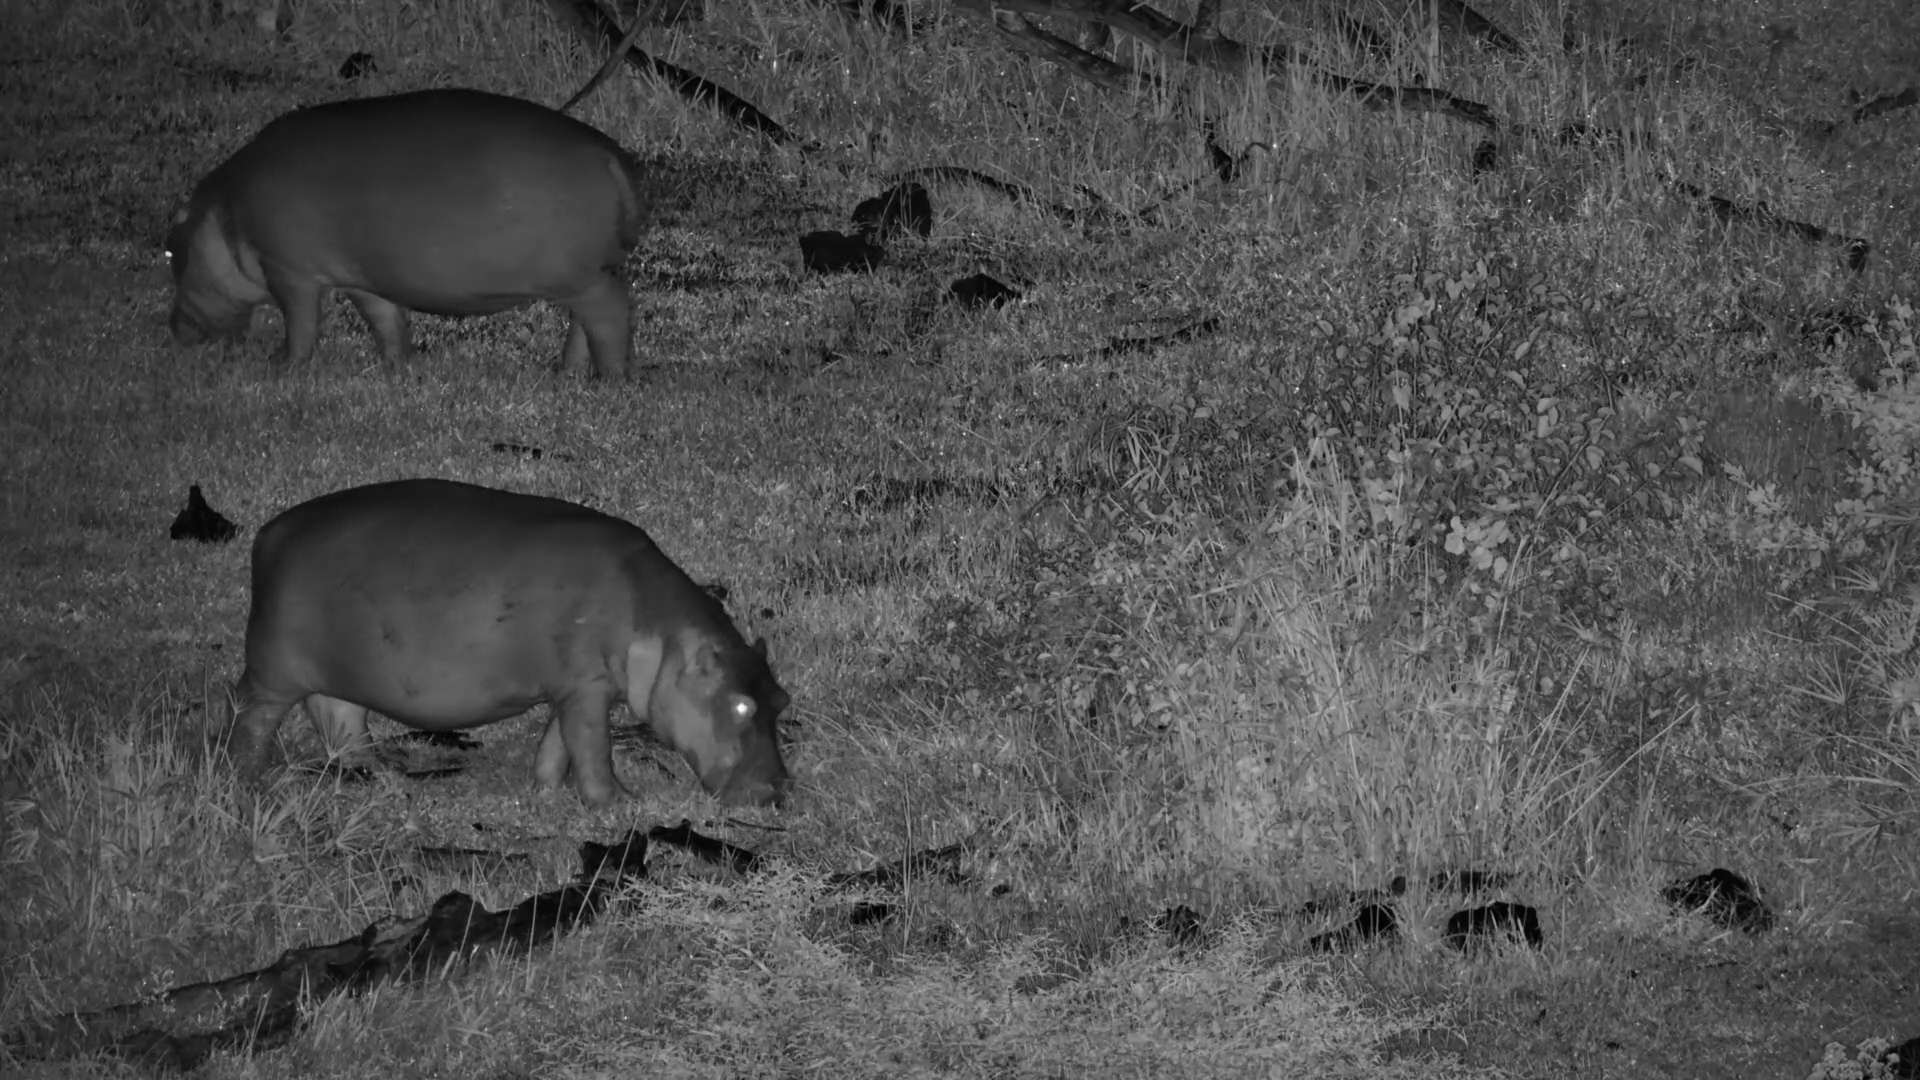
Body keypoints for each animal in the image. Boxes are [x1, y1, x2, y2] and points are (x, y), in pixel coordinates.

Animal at [165, 88, 647, 380]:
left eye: (172, 255)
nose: (174, 329)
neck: (225, 213)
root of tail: (609, 155)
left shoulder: (288, 271)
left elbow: (301, 324)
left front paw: (283, 367)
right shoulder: (360, 277)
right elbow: (385, 319)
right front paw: (397, 367)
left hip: (582, 277)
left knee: (611, 311)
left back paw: (611, 380)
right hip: (585, 274)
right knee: (586, 323)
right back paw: (567, 374)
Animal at [223, 479, 790, 807]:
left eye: (781, 699)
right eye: (740, 705)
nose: (777, 789)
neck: (663, 633)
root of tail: (269, 533)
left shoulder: (580, 686)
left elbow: (561, 742)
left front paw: (544, 792)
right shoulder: (586, 686)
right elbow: (593, 747)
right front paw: (621, 804)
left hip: (333, 671)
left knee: (339, 717)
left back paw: (379, 775)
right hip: (270, 670)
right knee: (252, 720)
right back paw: (249, 781)